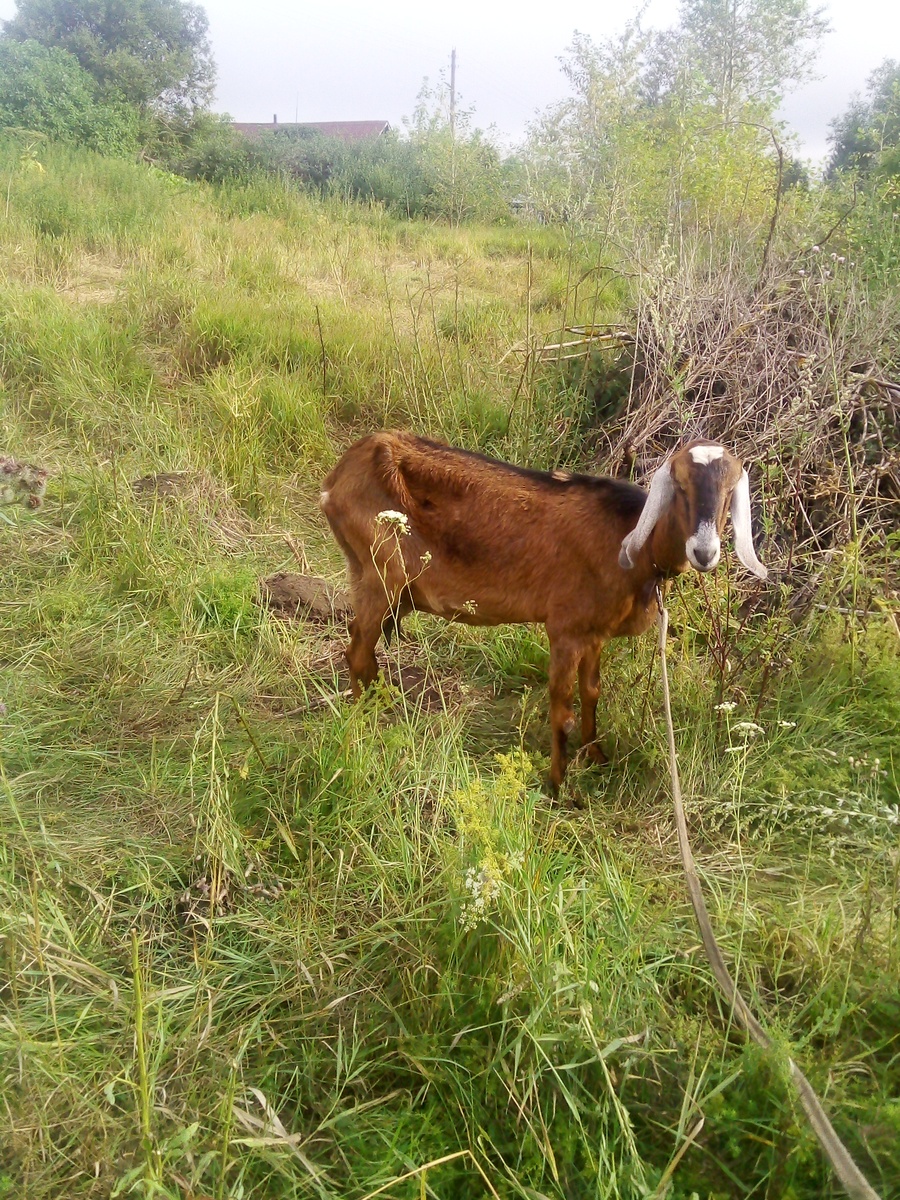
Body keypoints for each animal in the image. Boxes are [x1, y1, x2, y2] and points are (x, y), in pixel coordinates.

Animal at [321, 436, 763, 792]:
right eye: (681, 486)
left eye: (728, 492)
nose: (704, 552)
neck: (628, 541)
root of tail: (337, 478)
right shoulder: (564, 629)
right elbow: (562, 707)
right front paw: (559, 787)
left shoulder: (593, 631)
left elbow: (592, 692)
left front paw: (596, 756)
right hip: (380, 574)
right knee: (356, 651)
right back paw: (365, 724)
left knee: (365, 653)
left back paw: (383, 708)